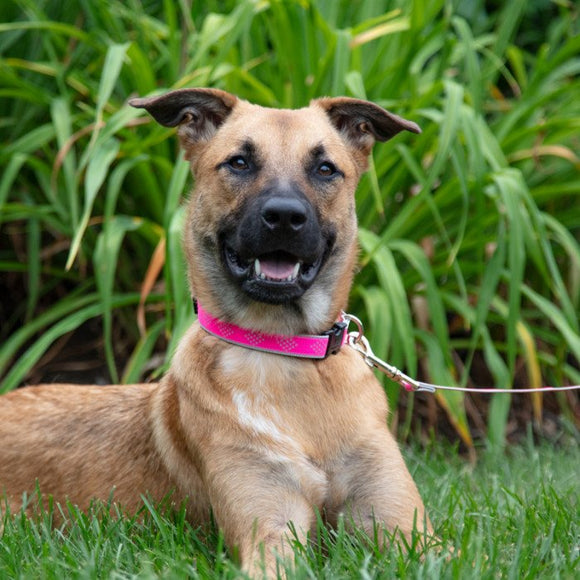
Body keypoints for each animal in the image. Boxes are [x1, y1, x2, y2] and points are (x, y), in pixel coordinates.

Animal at [1, 88, 430, 576]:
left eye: (325, 168)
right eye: (239, 162)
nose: (285, 217)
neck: (286, 355)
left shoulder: (409, 531)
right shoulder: (270, 529)